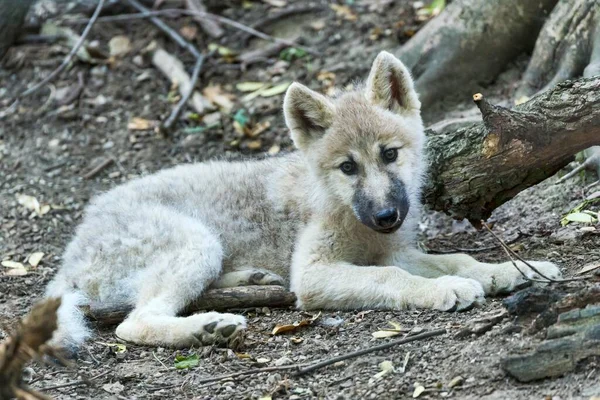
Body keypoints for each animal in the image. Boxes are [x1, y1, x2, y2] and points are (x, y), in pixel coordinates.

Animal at [47, 52, 564, 350]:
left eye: (390, 154)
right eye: (347, 167)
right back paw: (207, 327)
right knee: (132, 325)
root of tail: (74, 248)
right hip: (196, 242)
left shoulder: (395, 250)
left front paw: (512, 271)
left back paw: (247, 281)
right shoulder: (315, 274)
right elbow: (393, 279)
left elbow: (457, 259)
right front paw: (444, 291)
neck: (344, 212)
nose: (386, 216)